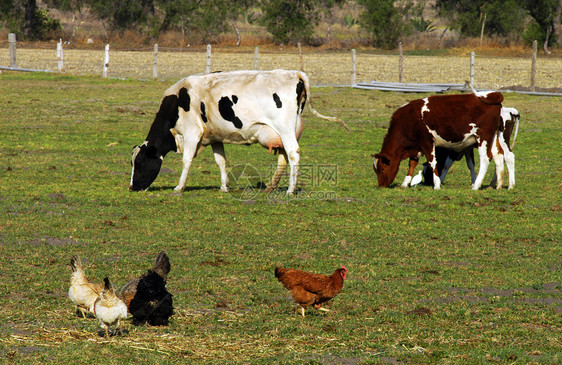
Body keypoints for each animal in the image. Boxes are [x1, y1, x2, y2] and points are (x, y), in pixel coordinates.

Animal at [129, 69, 346, 193]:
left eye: (138, 163)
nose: (132, 187)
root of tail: (294, 73)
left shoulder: (192, 133)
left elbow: (187, 161)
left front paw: (179, 187)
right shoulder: (214, 137)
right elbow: (221, 161)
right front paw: (224, 187)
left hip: (285, 130)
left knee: (293, 154)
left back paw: (290, 190)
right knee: (283, 158)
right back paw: (271, 186)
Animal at [372, 90, 512, 189]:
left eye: (382, 169)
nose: (381, 185)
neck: (407, 120)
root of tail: (491, 95)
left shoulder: (427, 142)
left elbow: (433, 162)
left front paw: (437, 184)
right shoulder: (416, 146)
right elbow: (412, 164)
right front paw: (405, 183)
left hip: (483, 138)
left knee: (485, 159)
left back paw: (476, 186)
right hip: (494, 138)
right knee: (499, 156)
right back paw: (499, 185)